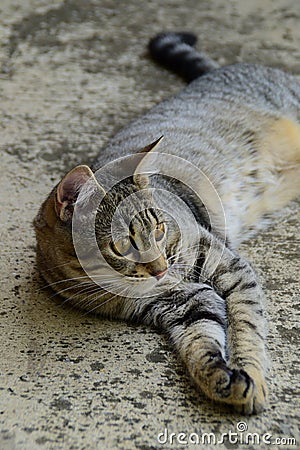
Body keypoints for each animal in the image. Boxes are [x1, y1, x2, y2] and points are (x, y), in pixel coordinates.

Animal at [33, 31, 300, 414]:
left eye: (159, 228)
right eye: (122, 245)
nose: (160, 269)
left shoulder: (229, 266)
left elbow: (246, 325)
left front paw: (250, 373)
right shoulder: (180, 304)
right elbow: (201, 343)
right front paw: (222, 380)